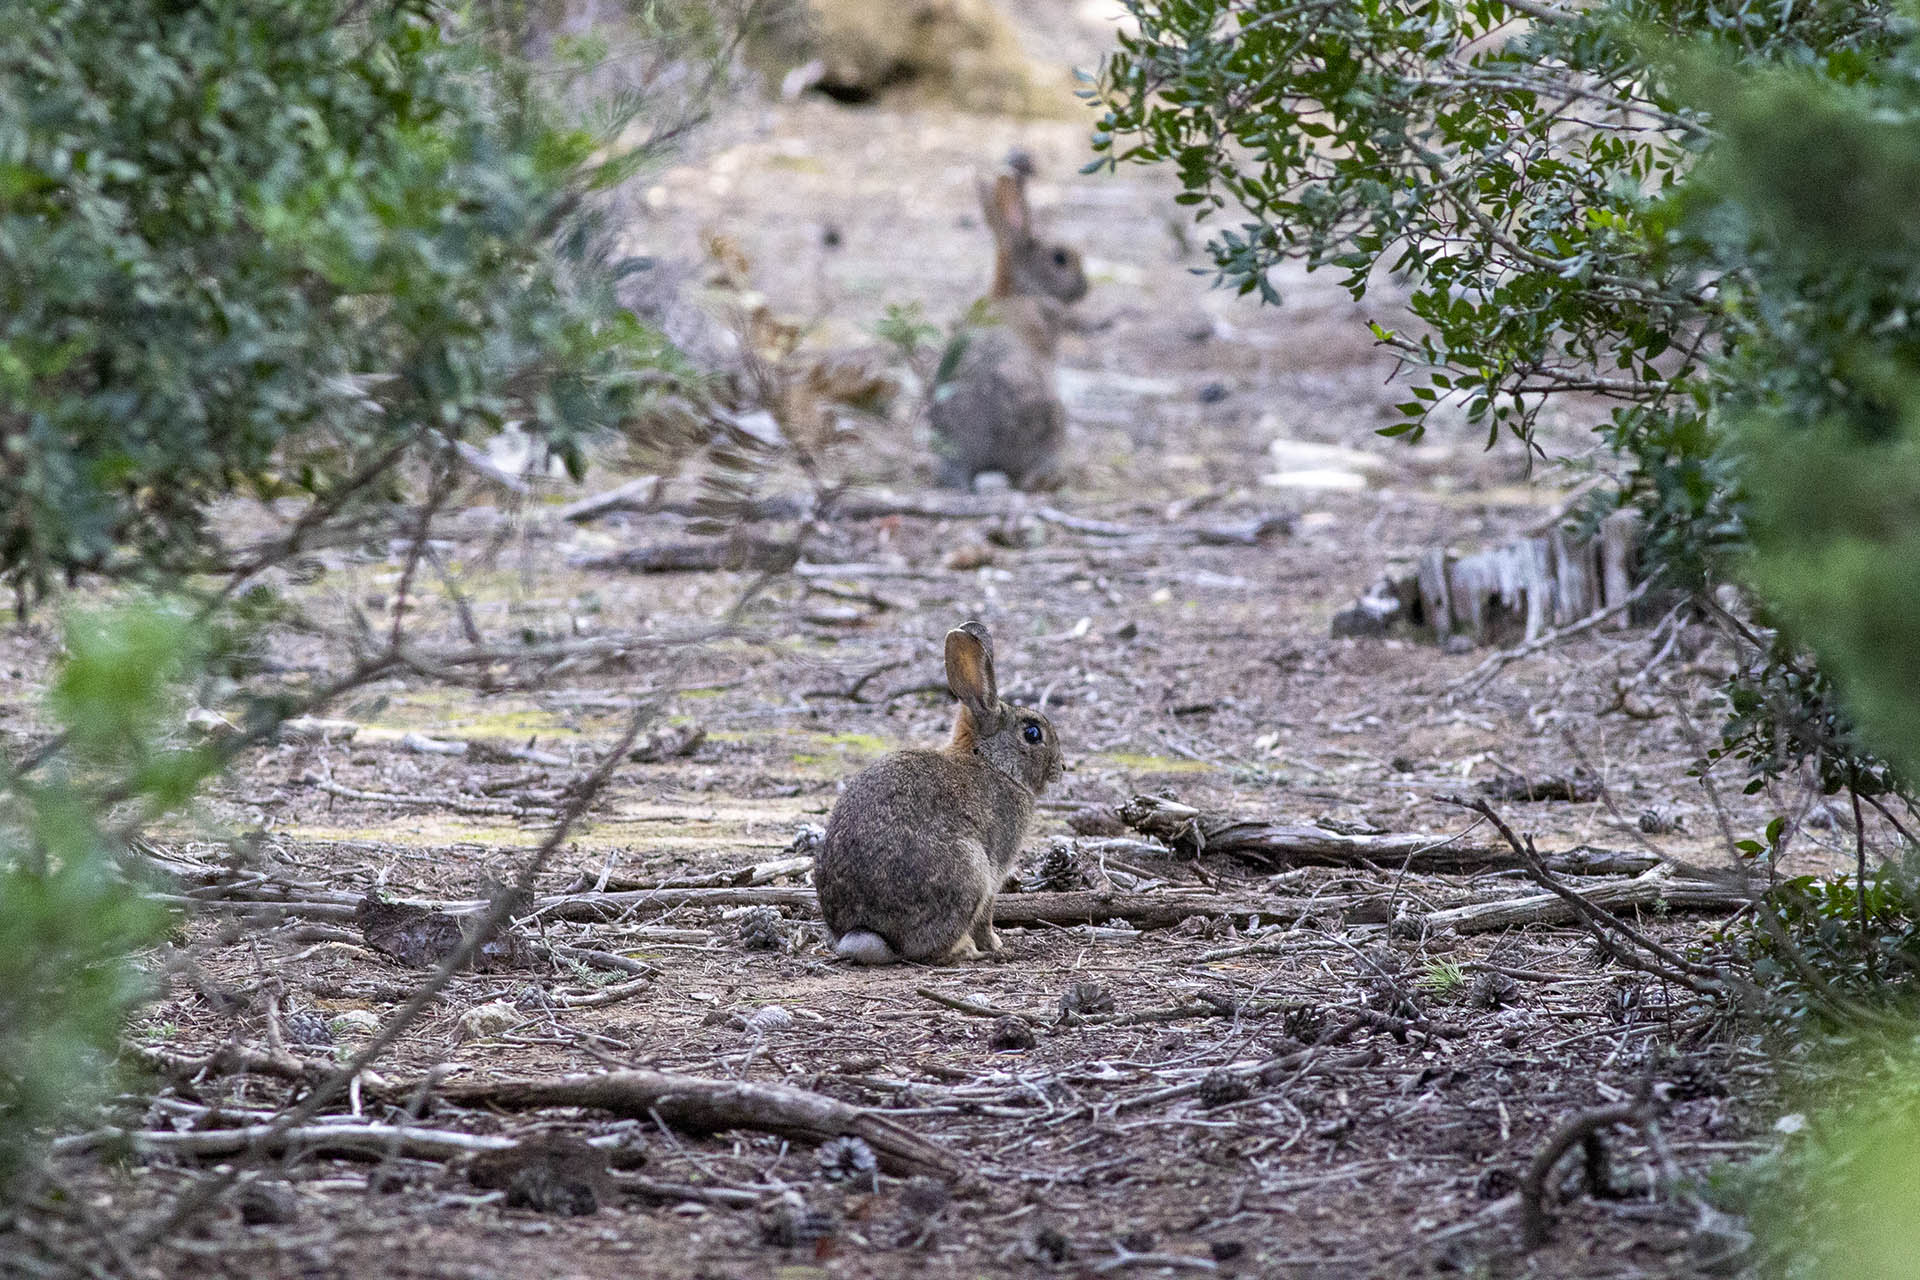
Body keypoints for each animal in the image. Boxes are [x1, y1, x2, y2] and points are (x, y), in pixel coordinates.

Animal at [814, 617, 1067, 959]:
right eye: (1032, 733)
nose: (1061, 767)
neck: (992, 762)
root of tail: (870, 933)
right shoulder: (995, 869)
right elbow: (987, 914)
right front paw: (996, 945)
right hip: (971, 870)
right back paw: (969, 951)